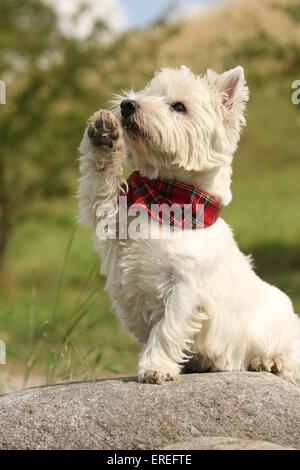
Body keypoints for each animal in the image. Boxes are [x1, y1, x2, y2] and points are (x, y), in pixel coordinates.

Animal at [78, 65, 300, 382]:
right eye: (149, 92)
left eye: (179, 106)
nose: (128, 105)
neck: (165, 199)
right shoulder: (110, 218)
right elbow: (98, 182)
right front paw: (104, 134)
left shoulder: (184, 287)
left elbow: (167, 329)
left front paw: (156, 368)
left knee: (289, 359)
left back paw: (269, 362)